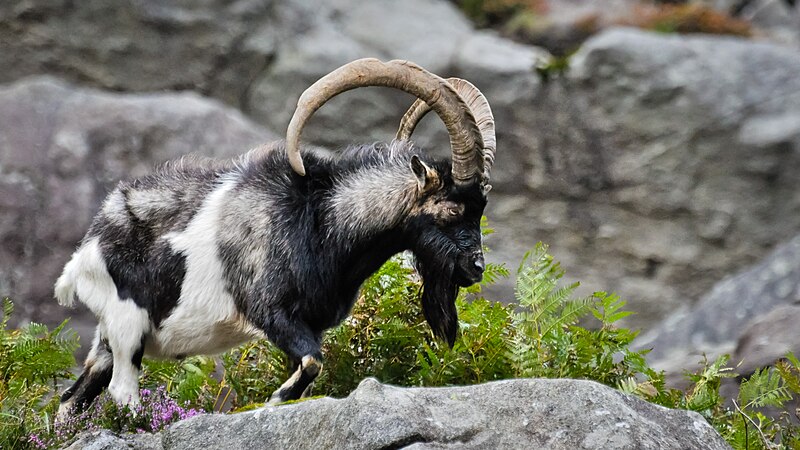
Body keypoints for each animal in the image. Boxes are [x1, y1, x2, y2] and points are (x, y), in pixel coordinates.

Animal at [54, 58, 494, 414]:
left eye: (481, 209)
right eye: (452, 209)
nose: (476, 268)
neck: (320, 221)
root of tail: (86, 249)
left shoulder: (310, 324)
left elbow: (309, 365)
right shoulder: (271, 312)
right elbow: (313, 362)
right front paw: (275, 400)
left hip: (109, 339)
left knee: (72, 399)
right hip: (127, 324)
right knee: (121, 391)